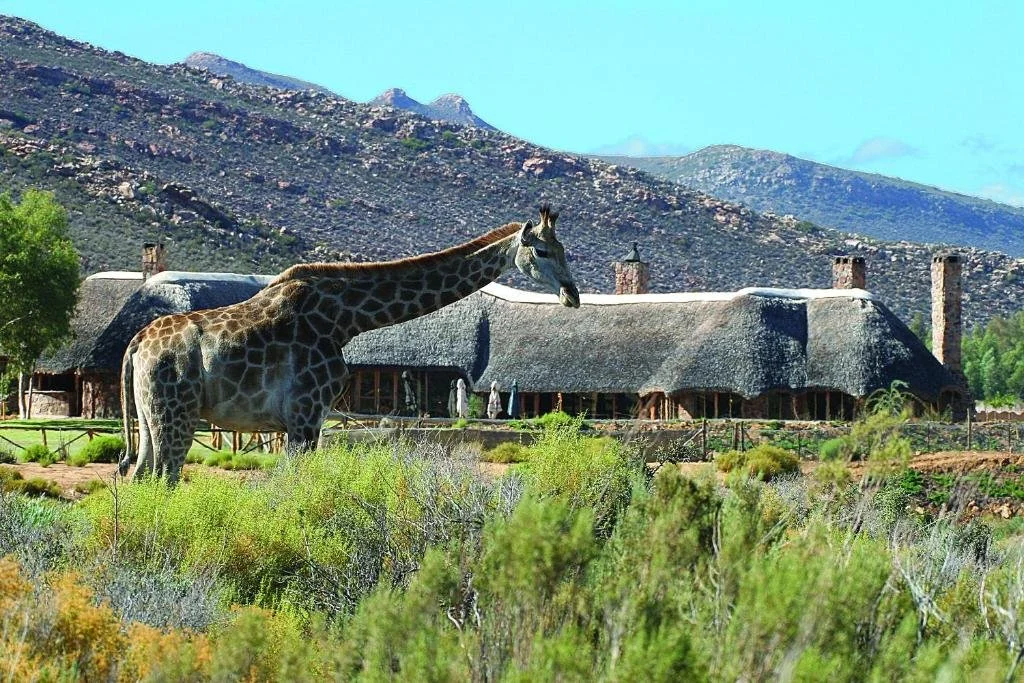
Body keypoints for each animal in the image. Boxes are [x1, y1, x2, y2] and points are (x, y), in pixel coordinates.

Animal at [121, 206, 579, 483]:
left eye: (564, 249)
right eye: (541, 250)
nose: (572, 295)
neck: (347, 320)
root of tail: (136, 345)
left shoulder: (307, 423)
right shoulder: (305, 418)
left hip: (149, 417)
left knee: (138, 475)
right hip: (176, 416)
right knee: (164, 478)